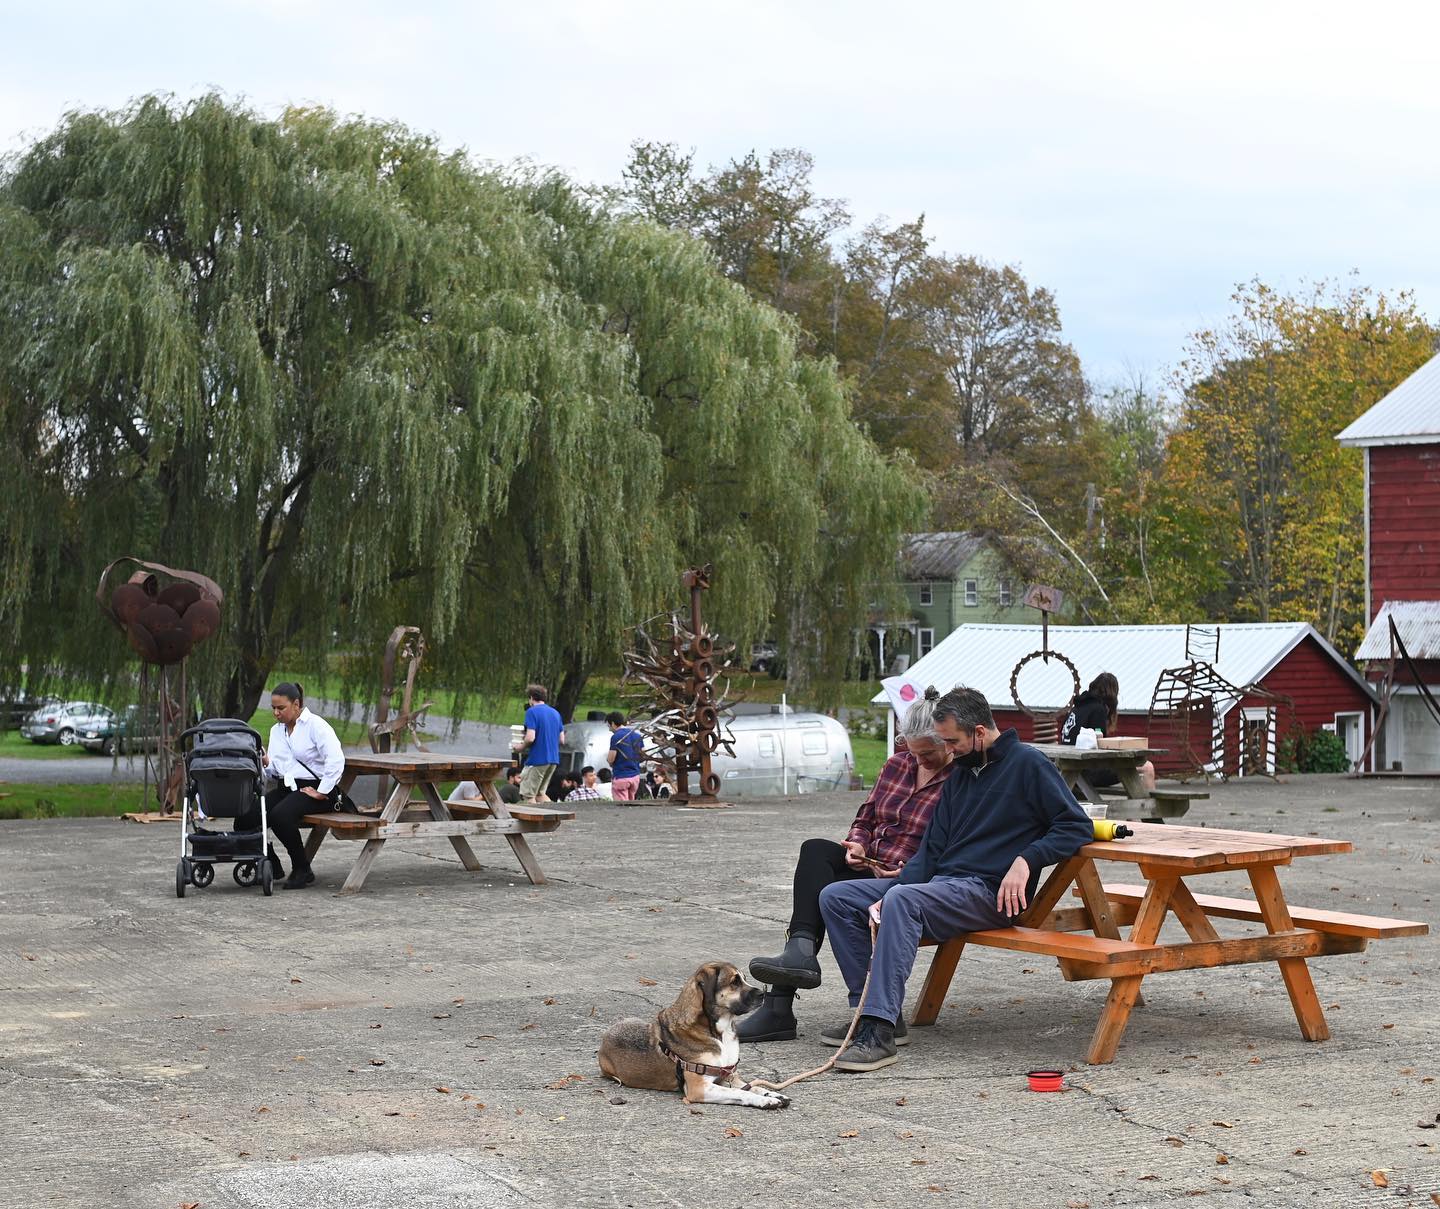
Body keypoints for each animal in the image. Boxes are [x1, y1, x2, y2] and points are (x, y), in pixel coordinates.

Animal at [597, 960, 791, 1110]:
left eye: (744, 979)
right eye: (734, 982)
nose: (763, 993)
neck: (719, 1033)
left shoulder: (728, 1075)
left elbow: (752, 1086)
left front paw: (771, 1093)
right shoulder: (700, 1088)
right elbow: (738, 1091)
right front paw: (764, 1100)